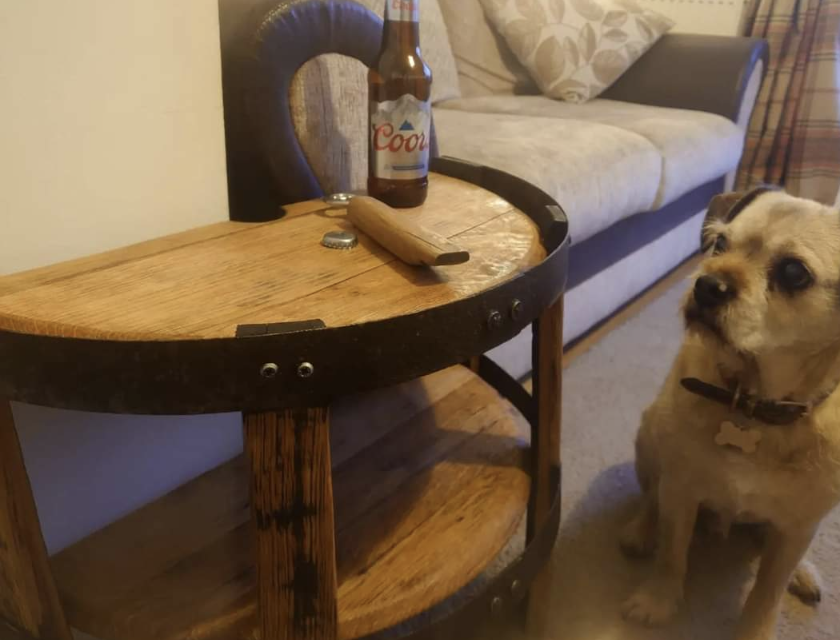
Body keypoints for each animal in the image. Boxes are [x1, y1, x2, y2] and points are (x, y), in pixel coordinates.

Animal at [619, 187, 840, 640]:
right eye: (720, 244)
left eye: (794, 273)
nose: (707, 285)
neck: (754, 403)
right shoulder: (682, 489)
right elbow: (672, 554)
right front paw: (657, 601)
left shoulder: (798, 528)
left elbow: (767, 592)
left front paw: (756, 630)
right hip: (650, 434)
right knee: (650, 496)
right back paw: (640, 529)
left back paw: (802, 572)